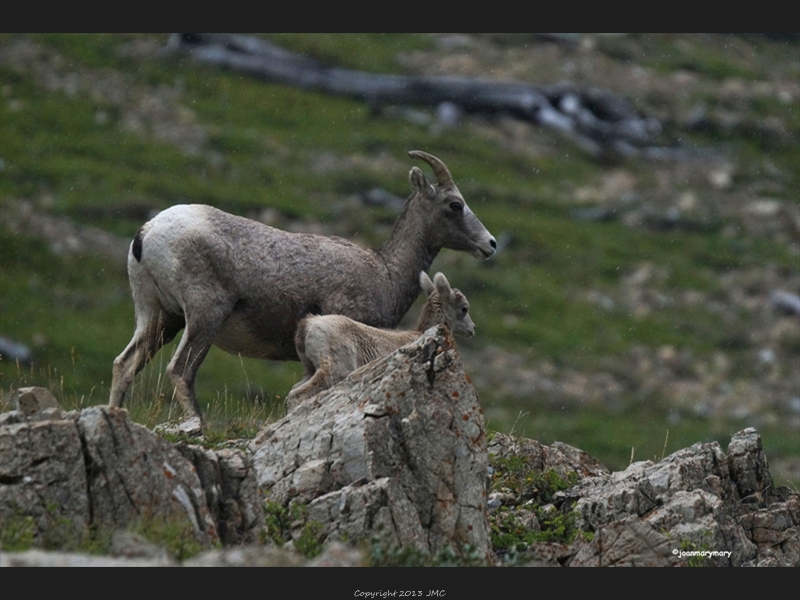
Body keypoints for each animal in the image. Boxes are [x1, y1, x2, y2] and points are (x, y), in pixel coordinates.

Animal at [288, 270, 472, 410]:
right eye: (464, 308)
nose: (472, 328)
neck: (418, 333)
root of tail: (308, 325)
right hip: (335, 370)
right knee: (295, 395)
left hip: (309, 369)